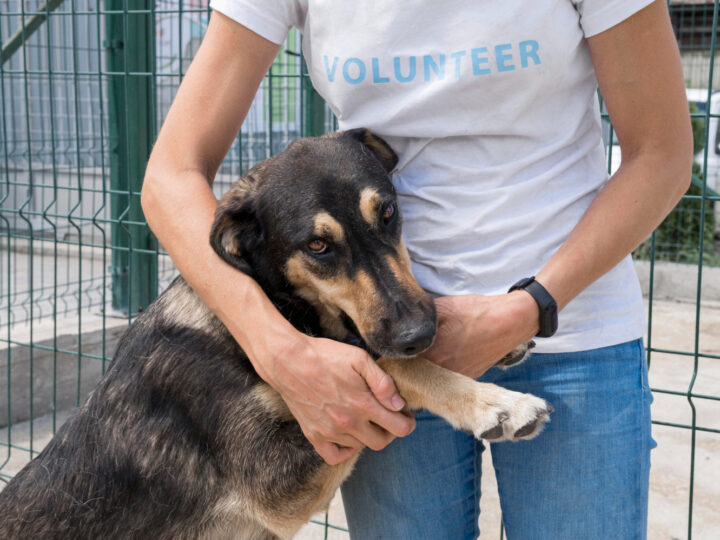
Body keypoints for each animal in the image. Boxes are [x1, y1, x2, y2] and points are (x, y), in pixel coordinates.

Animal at [0, 131, 552, 540]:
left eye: (389, 213)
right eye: (318, 246)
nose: (420, 332)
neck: (279, 311)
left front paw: (481, 331)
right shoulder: (278, 483)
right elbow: (387, 364)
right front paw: (492, 402)